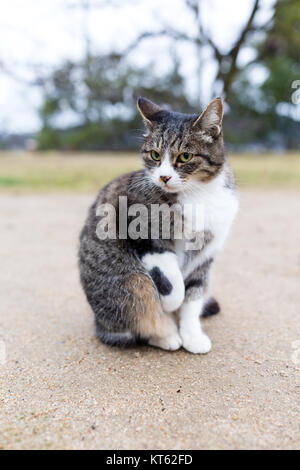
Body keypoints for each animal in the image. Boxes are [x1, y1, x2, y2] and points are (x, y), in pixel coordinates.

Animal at [78, 96, 238, 352]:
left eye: (184, 157)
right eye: (154, 155)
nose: (164, 177)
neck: (197, 194)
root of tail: (98, 322)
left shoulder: (206, 255)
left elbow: (193, 297)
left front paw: (192, 336)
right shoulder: (142, 233)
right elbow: (174, 282)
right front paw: (171, 304)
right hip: (131, 285)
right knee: (136, 320)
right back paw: (166, 335)